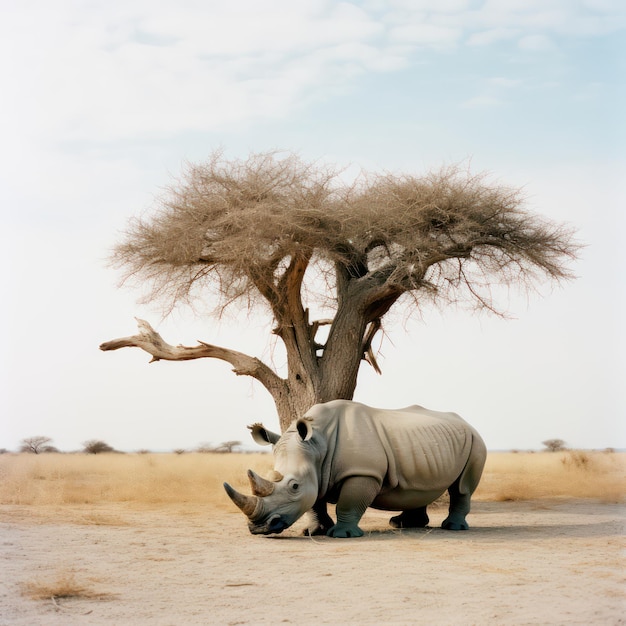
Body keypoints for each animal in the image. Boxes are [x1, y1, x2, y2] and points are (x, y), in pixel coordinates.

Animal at [222, 400, 486, 536]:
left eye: (294, 486)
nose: (258, 528)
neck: (318, 444)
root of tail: (466, 421)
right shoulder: (316, 471)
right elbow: (315, 502)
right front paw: (313, 532)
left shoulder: (363, 472)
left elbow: (348, 503)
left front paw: (341, 534)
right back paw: (401, 525)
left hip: (476, 440)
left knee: (462, 487)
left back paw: (453, 528)